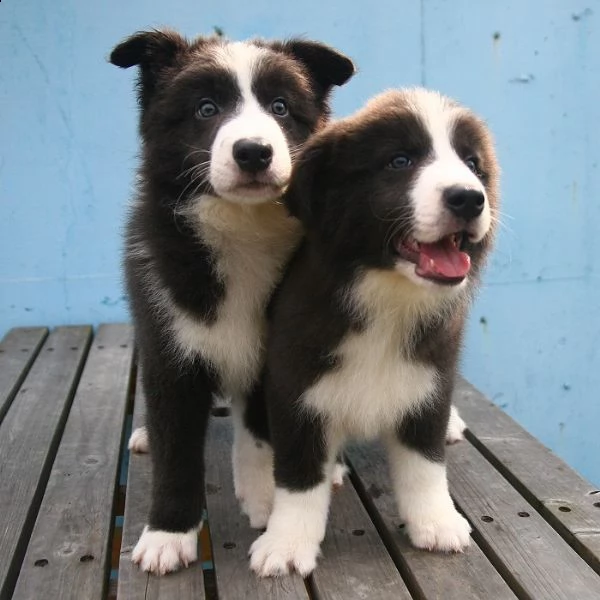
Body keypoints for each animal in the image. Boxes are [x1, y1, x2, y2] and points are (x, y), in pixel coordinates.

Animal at [109, 29, 354, 576]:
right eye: (205, 108)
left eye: (281, 107)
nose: (254, 152)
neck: (242, 228)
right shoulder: (169, 347)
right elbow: (177, 451)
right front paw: (167, 534)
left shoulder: (277, 353)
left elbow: (261, 431)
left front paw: (265, 498)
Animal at [246, 88, 500, 576]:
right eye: (400, 161)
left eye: (472, 164)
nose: (469, 198)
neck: (387, 295)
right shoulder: (293, 382)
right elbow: (298, 473)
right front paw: (287, 543)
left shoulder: (430, 373)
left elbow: (424, 461)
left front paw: (436, 522)